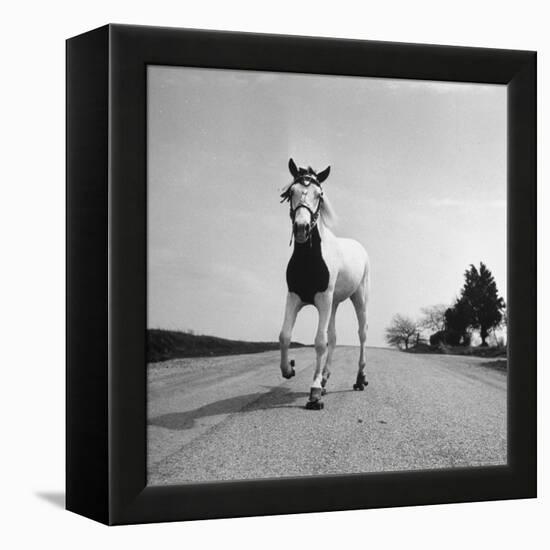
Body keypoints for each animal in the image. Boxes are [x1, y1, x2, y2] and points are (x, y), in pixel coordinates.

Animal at [280, 158, 370, 410]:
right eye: (291, 192)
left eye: (319, 194)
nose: (301, 227)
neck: (310, 260)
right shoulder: (294, 297)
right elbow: (285, 335)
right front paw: (288, 369)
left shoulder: (322, 299)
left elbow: (320, 342)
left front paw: (314, 393)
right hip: (334, 303)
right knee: (334, 335)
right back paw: (326, 378)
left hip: (359, 297)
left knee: (362, 333)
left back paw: (360, 379)